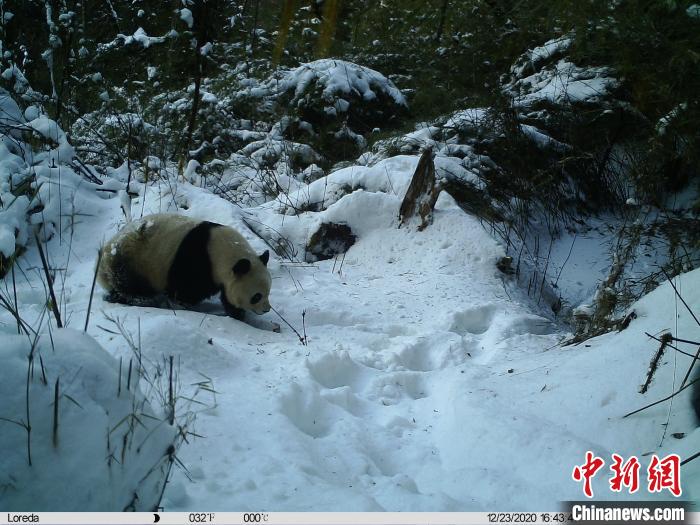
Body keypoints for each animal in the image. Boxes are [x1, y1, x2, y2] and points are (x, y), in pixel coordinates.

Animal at [97, 213, 271, 320]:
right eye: (257, 296)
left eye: (268, 292)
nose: (266, 309)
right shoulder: (195, 261)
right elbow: (185, 290)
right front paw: (182, 304)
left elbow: (227, 295)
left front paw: (237, 313)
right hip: (130, 259)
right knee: (127, 284)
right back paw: (139, 299)